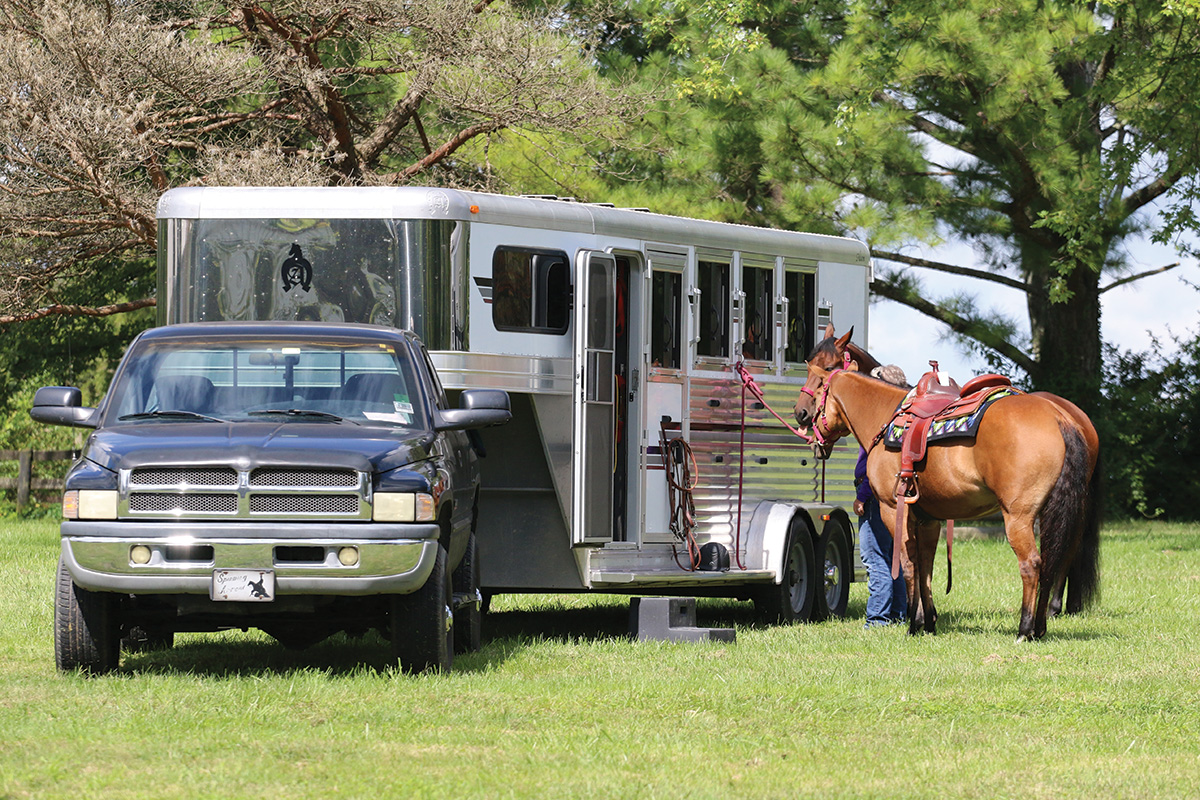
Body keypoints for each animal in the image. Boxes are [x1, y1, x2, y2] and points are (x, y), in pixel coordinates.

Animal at [792, 328, 1099, 642]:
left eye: (820, 373)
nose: (799, 412)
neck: (885, 416)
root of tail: (1060, 417)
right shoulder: (929, 518)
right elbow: (926, 566)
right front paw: (927, 621)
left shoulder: (894, 510)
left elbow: (908, 564)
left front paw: (913, 625)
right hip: (1054, 512)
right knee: (1053, 559)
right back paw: (1040, 626)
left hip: (1019, 516)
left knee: (1032, 564)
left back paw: (1025, 629)